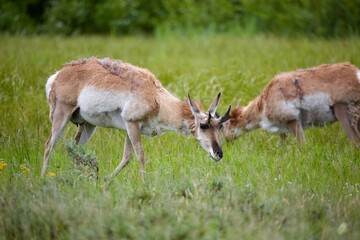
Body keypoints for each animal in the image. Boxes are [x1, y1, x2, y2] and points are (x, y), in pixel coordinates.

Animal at [42, 57, 231, 179]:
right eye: (203, 126)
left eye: (219, 126)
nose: (219, 154)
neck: (156, 97)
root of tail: (59, 74)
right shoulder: (132, 124)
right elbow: (140, 156)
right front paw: (145, 185)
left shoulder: (130, 128)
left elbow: (126, 158)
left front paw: (105, 182)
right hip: (61, 114)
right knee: (49, 145)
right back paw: (43, 178)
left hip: (88, 125)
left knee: (75, 148)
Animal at [224, 62, 360, 144]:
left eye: (226, 125)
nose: (226, 141)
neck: (261, 106)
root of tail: (356, 73)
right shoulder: (283, 129)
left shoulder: (292, 119)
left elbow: (302, 145)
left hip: (345, 113)